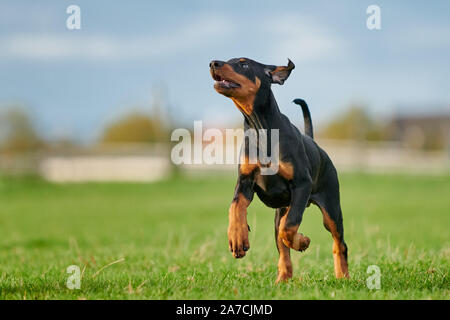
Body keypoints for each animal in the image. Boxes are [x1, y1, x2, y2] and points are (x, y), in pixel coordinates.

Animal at [209, 57, 350, 282]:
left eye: (244, 64)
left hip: (331, 208)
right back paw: (283, 278)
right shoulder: (245, 181)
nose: (213, 63)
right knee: (283, 245)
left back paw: (342, 275)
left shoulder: (302, 184)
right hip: (281, 210)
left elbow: (290, 225)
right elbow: (236, 206)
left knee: (338, 243)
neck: (261, 128)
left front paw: (302, 241)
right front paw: (237, 237)